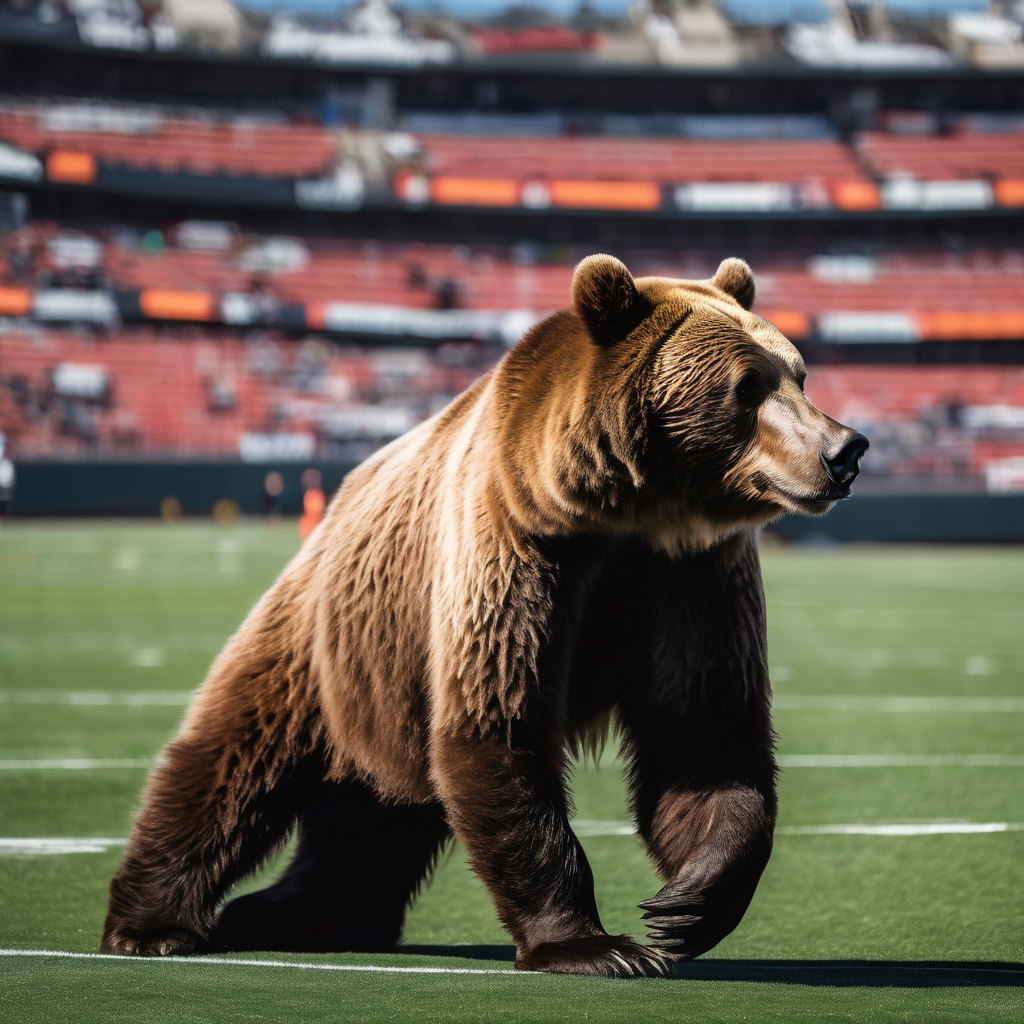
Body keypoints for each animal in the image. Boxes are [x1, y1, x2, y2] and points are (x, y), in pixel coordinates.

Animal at [101, 255, 868, 976]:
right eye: (746, 384)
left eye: (799, 374)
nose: (845, 450)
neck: (626, 510)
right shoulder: (516, 546)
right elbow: (498, 721)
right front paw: (596, 945)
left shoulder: (690, 576)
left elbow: (705, 733)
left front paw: (687, 904)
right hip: (321, 638)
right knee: (231, 757)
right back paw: (154, 924)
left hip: (384, 684)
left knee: (371, 818)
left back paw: (300, 914)